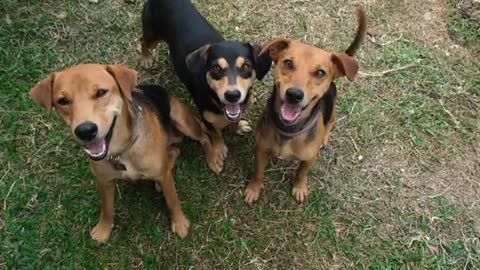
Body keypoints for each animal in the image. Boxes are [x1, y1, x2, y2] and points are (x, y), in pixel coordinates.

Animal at [28, 63, 219, 243]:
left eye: (101, 92)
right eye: (62, 101)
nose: (85, 130)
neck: (121, 152)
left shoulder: (164, 176)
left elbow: (173, 201)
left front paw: (180, 223)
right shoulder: (104, 181)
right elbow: (107, 209)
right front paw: (103, 230)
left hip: (182, 120)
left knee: (203, 137)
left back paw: (214, 158)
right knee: (174, 151)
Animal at [141, 0, 272, 173]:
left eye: (246, 66)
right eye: (216, 68)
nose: (232, 95)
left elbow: (234, 121)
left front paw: (237, 127)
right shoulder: (207, 119)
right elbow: (215, 135)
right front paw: (218, 152)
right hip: (152, 33)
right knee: (143, 41)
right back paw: (146, 58)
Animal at [244, 8, 368, 204]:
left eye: (320, 73)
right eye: (288, 63)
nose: (294, 95)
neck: (288, 129)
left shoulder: (309, 159)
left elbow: (302, 173)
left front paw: (299, 188)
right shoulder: (261, 150)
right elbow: (258, 172)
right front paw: (254, 188)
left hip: (331, 111)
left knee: (331, 121)